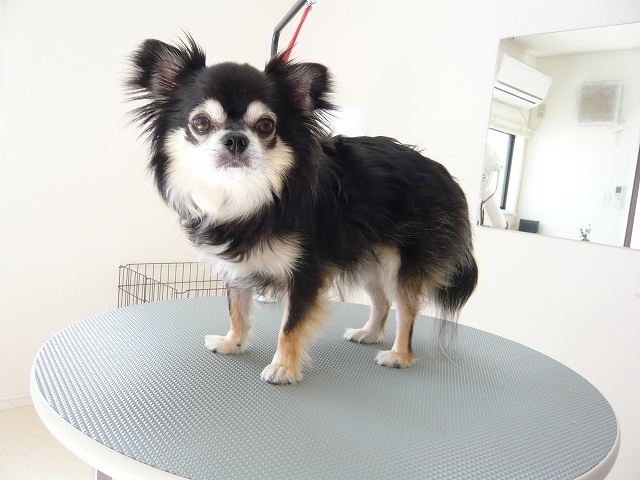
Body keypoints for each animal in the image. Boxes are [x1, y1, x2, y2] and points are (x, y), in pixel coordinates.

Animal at [126, 35, 478, 384]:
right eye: (201, 123)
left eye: (265, 125)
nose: (236, 139)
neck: (245, 197)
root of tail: (446, 177)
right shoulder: (236, 265)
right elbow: (237, 308)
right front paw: (232, 342)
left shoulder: (306, 271)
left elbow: (290, 325)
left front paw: (283, 367)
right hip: (368, 258)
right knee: (382, 299)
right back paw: (368, 333)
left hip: (399, 265)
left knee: (406, 309)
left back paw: (399, 355)